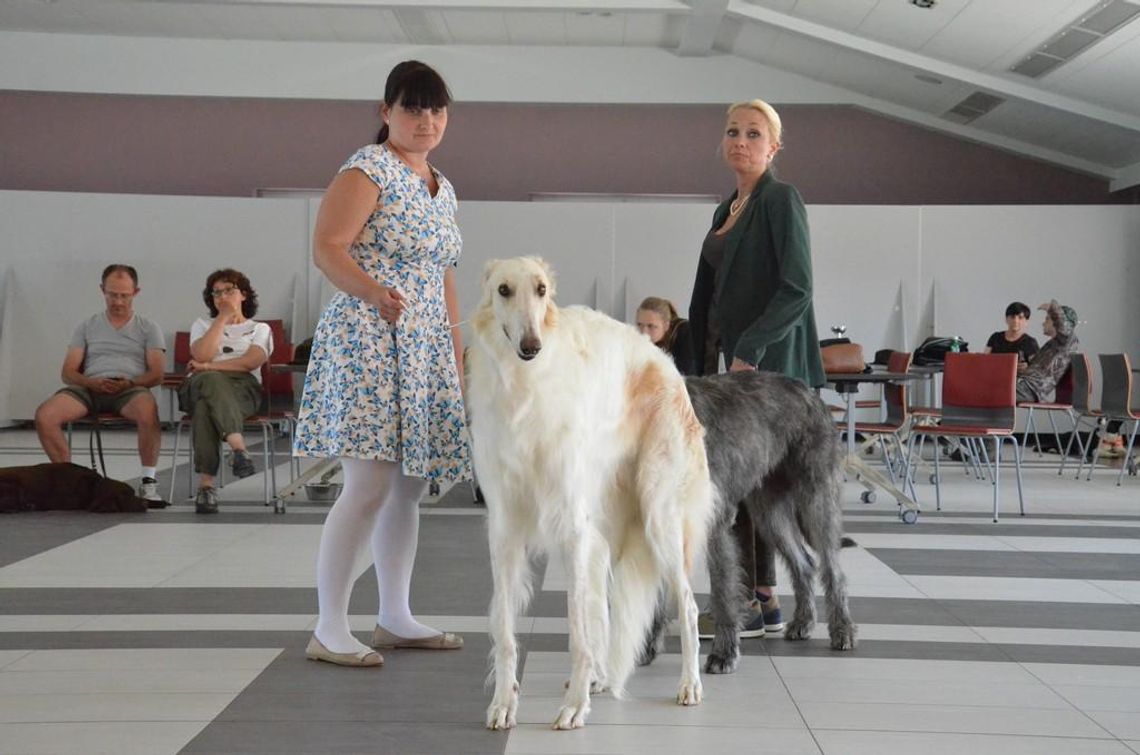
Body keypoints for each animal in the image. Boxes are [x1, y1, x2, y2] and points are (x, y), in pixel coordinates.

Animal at [465, 257, 711, 729]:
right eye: (503, 289)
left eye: (542, 289)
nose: (531, 345)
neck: (525, 387)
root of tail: (667, 365)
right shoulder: (504, 527)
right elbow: (505, 627)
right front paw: (504, 704)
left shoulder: (571, 528)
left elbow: (577, 631)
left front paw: (573, 707)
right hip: (602, 537)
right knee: (601, 614)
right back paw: (599, 678)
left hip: (658, 518)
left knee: (687, 606)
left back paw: (689, 685)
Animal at [642, 371, 857, 675]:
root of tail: (807, 391)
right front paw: (647, 647)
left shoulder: (716, 522)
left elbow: (723, 591)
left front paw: (724, 653)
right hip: (770, 511)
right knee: (803, 562)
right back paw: (803, 621)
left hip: (816, 497)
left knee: (831, 567)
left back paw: (843, 629)